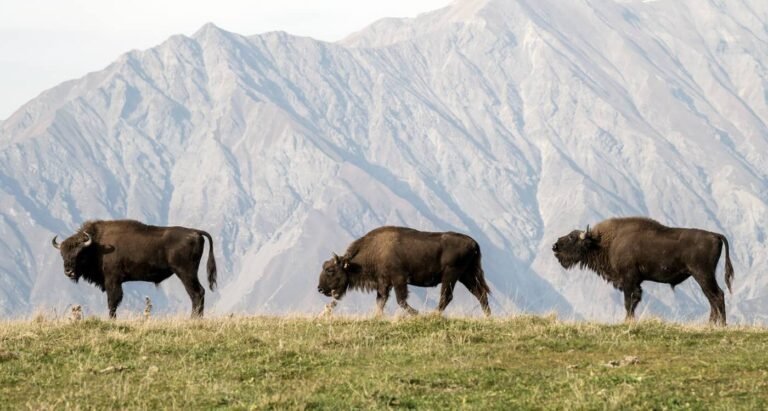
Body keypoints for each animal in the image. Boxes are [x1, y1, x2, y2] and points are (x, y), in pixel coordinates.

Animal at [52, 219, 217, 318]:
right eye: (62, 254)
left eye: (80, 254)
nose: (68, 271)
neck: (97, 245)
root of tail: (196, 232)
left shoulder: (112, 280)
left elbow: (112, 301)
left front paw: (112, 319)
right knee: (199, 293)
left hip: (185, 273)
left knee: (197, 293)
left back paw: (194, 319)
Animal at [317, 226, 491, 317]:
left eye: (330, 270)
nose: (320, 288)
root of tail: (473, 243)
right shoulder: (384, 284)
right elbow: (381, 301)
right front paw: (377, 317)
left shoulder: (399, 280)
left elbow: (400, 300)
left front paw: (418, 314)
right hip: (465, 276)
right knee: (480, 293)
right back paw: (488, 316)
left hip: (451, 276)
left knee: (447, 296)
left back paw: (432, 315)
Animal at [552, 217, 734, 325]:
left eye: (572, 237)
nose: (555, 246)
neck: (604, 242)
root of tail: (715, 235)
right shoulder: (635, 282)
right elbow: (633, 302)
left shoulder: (629, 280)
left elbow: (629, 302)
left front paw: (627, 321)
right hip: (702, 277)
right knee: (712, 298)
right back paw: (711, 324)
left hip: (703, 274)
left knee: (717, 295)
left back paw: (721, 325)